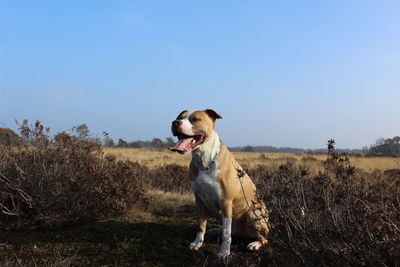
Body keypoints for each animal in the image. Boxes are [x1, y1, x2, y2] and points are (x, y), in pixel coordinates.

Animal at [167, 109, 270, 260]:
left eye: (195, 119)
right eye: (179, 117)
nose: (175, 123)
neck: (204, 161)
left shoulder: (226, 201)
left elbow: (226, 234)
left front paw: (224, 253)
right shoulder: (199, 199)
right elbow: (201, 224)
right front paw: (197, 243)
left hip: (254, 214)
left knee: (262, 237)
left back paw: (254, 244)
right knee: (232, 232)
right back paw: (215, 230)